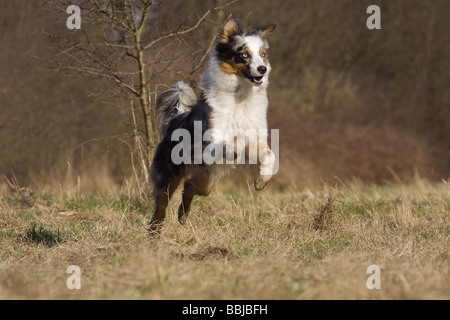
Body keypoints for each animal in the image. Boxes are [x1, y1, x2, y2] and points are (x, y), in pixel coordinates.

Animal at [150, 17, 278, 232]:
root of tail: (176, 118)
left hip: (206, 180)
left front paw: (261, 180)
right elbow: (229, 147)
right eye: (244, 54)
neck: (240, 98)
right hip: (170, 173)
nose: (263, 69)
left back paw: (182, 216)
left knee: (190, 186)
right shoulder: (210, 139)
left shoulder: (255, 137)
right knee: (162, 204)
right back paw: (154, 232)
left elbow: (269, 154)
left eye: (263, 55)